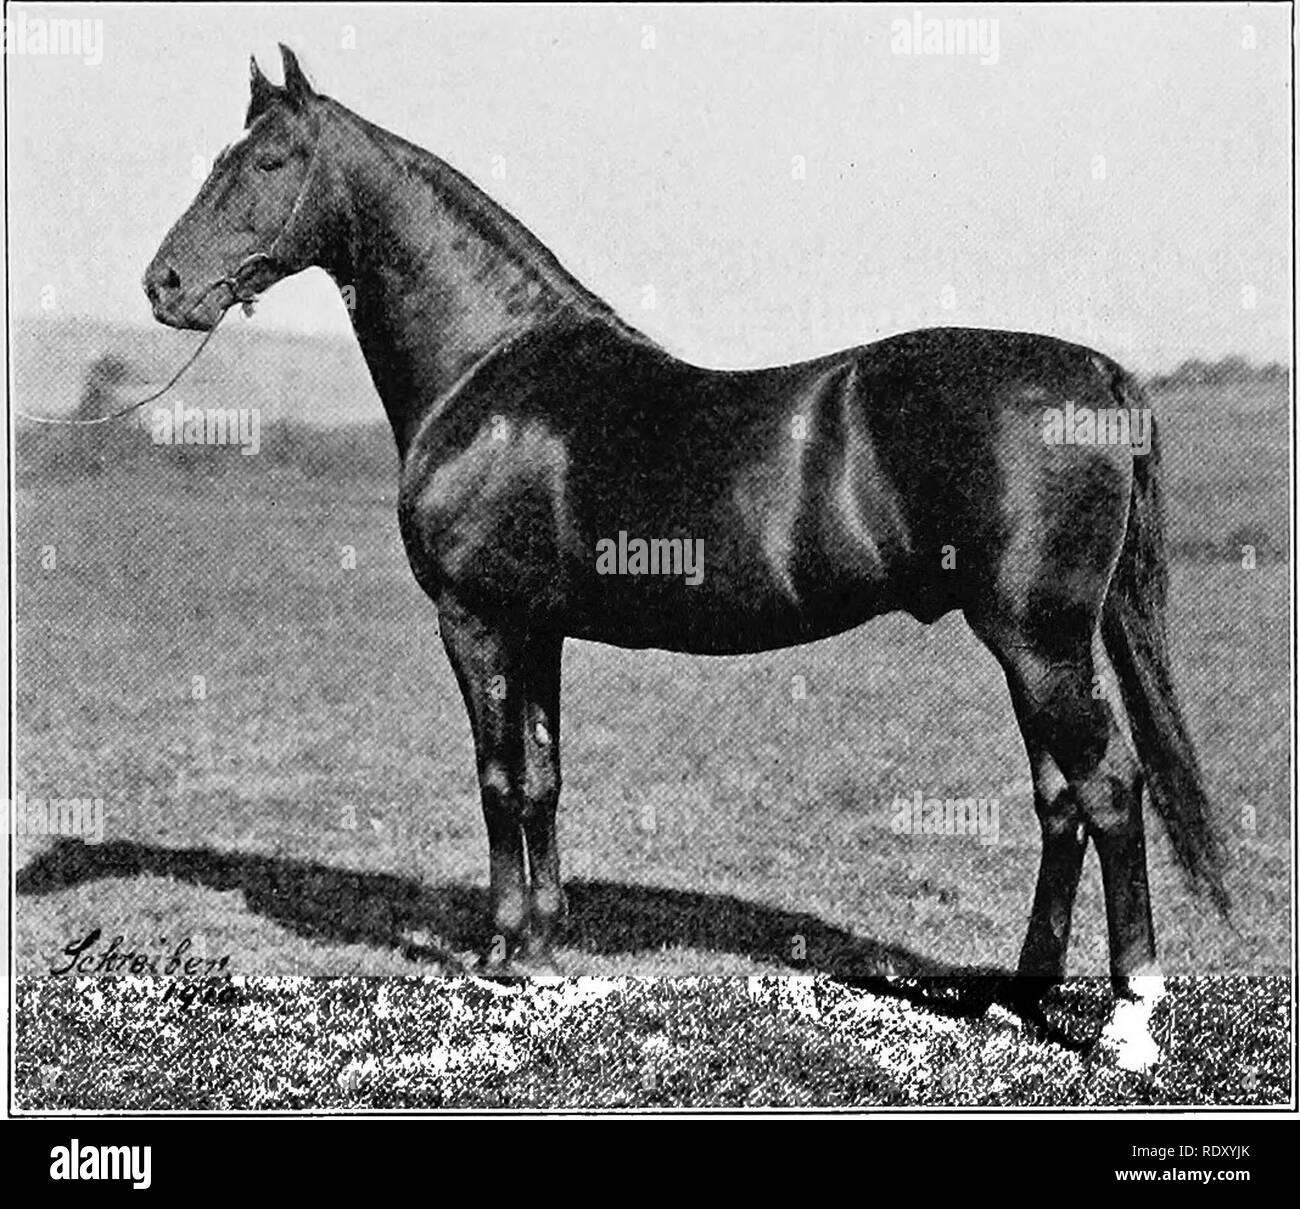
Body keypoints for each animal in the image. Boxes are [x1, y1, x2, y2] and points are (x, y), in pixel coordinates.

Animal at [147, 44, 1222, 1066]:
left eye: (269, 161)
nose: (163, 285)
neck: (490, 372)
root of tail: (1097, 372)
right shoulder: (538, 629)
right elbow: (541, 778)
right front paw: (543, 951)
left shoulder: (476, 621)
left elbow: (497, 779)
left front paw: (499, 953)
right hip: (1035, 648)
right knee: (1061, 803)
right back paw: (1017, 996)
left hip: (1041, 644)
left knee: (1108, 791)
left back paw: (1127, 1023)